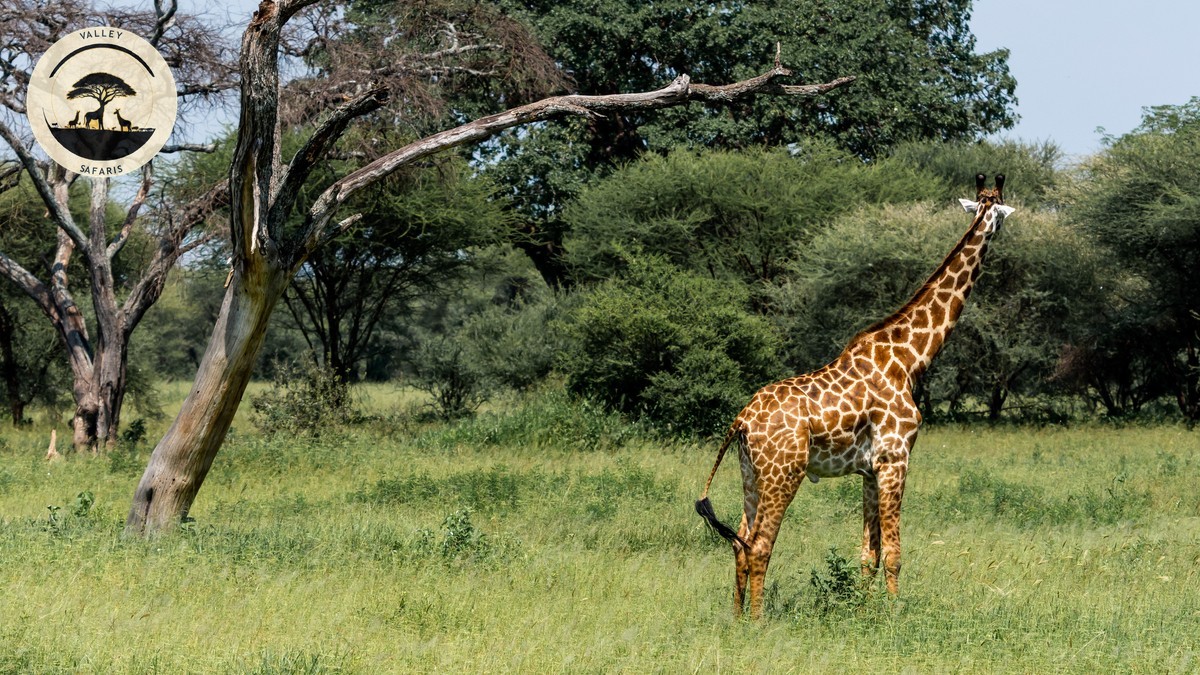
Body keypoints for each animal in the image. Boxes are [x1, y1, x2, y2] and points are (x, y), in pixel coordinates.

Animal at [696, 174, 1015, 619]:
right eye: (1001, 212)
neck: (910, 358)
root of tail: (741, 419)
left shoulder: (868, 470)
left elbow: (868, 554)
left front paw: (862, 612)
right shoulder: (896, 458)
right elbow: (895, 553)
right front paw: (896, 614)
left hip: (750, 473)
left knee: (740, 541)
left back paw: (737, 618)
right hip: (784, 472)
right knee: (759, 545)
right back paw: (758, 622)